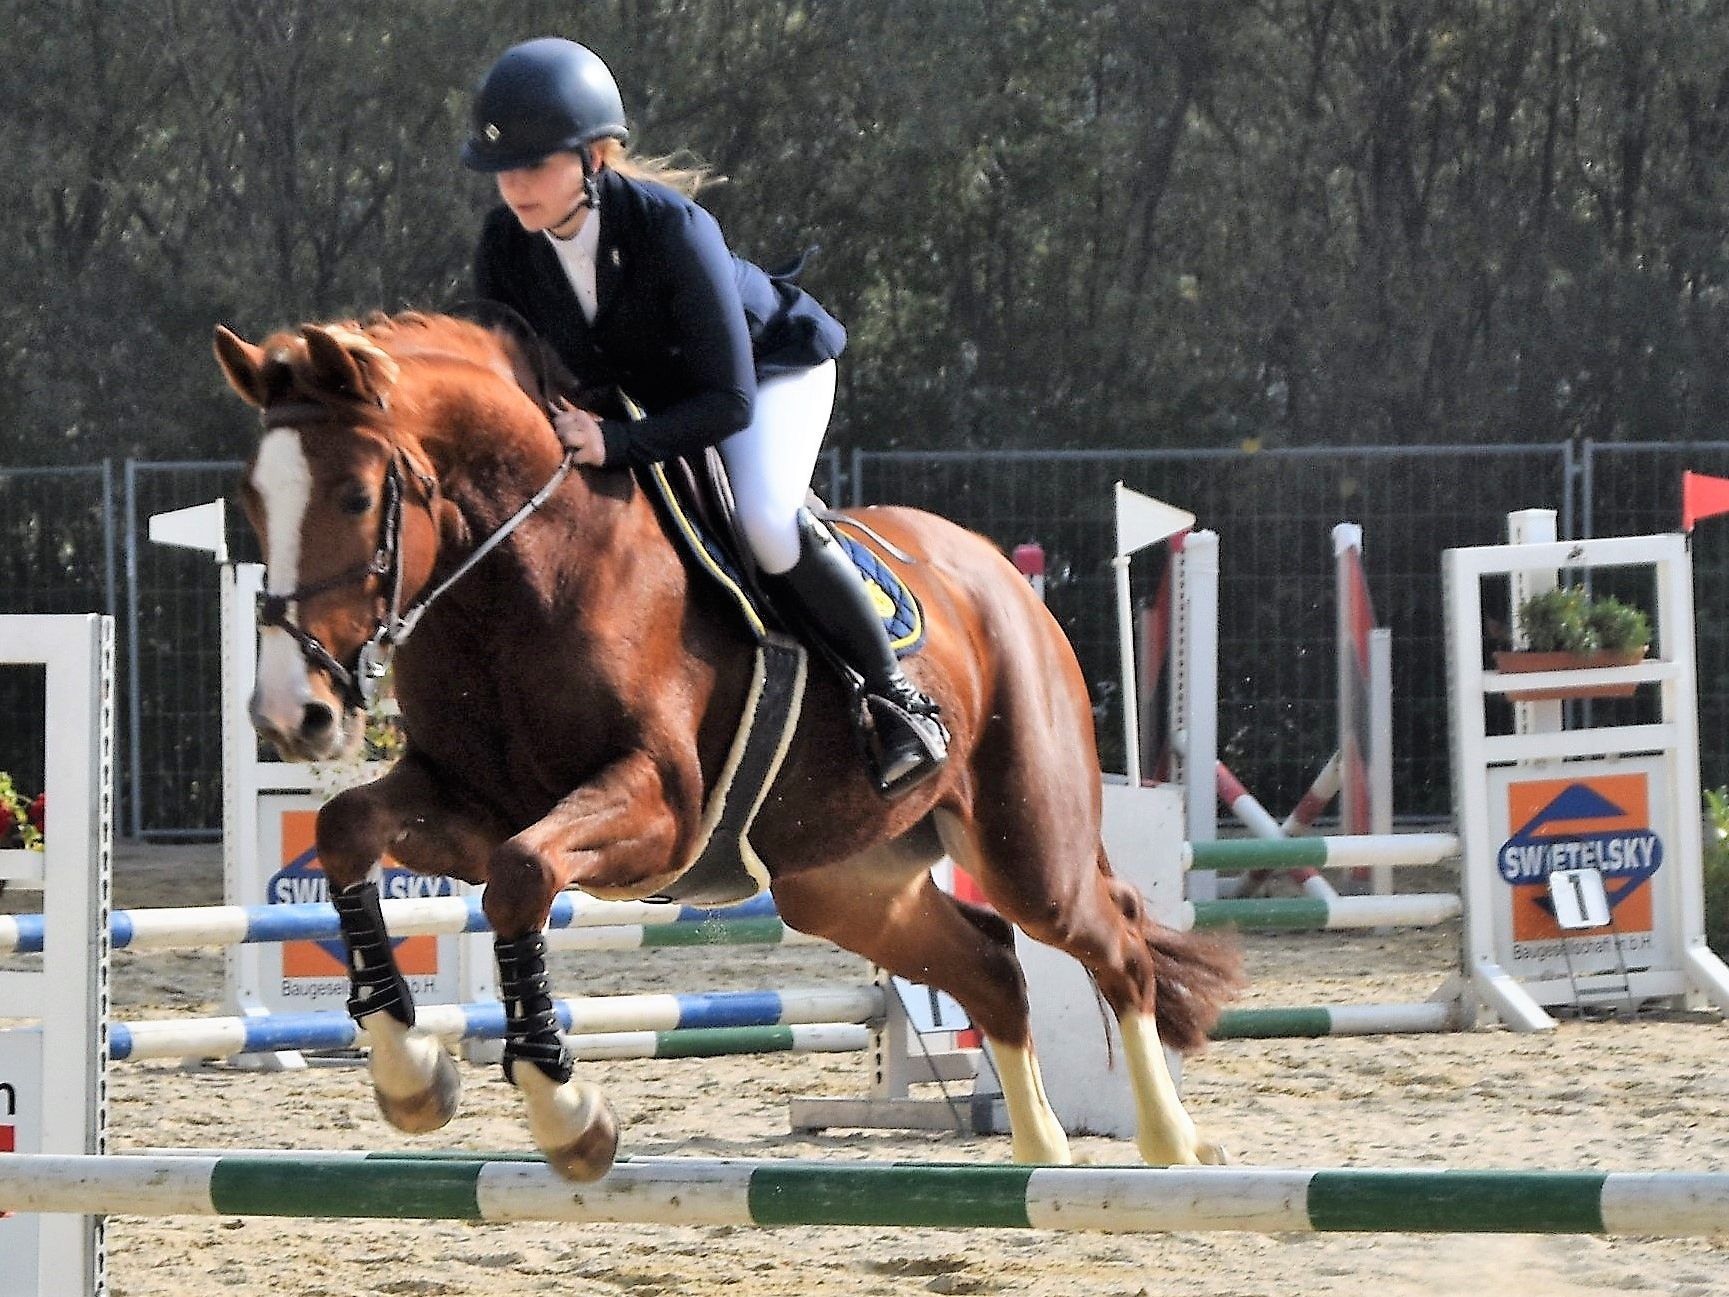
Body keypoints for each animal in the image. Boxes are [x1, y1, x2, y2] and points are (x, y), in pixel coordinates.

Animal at [216, 313, 1237, 1175]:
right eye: (254, 504)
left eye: (356, 496)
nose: (290, 714)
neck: (516, 583)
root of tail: (1004, 580)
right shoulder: (466, 801)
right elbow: (349, 828)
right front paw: (409, 1073)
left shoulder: (656, 809)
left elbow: (520, 877)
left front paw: (566, 1113)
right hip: (842, 884)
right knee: (990, 966)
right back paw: (1040, 1154)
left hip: (1026, 847)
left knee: (1114, 946)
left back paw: (1172, 1143)